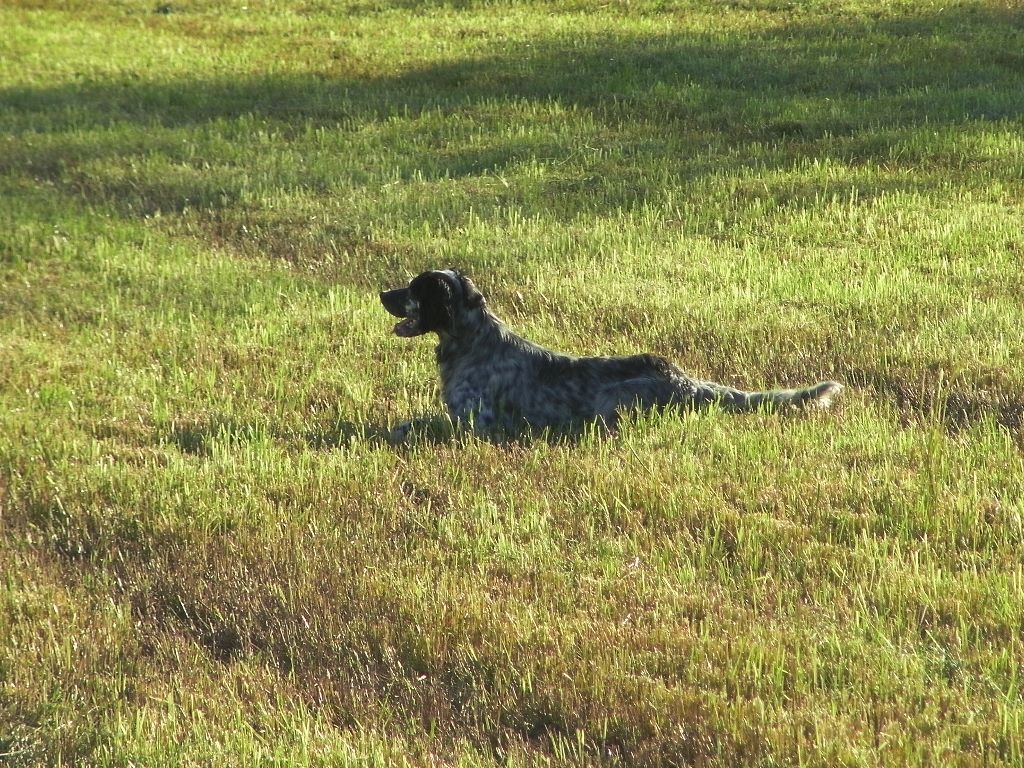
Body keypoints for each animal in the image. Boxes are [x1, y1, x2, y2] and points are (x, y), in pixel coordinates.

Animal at [380, 270, 843, 438]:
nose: (383, 294)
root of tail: (685, 380)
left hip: (611, 402)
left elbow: (420, 425)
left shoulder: (476, 425)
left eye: (413, 289)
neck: (472, 340)